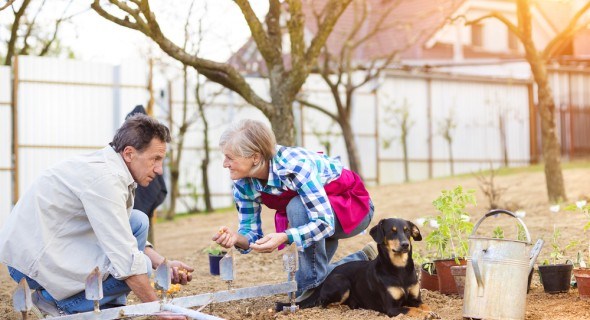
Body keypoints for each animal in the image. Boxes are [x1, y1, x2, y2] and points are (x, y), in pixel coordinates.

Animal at [292, 219, 440, 318]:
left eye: (407, 230)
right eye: (392, 232)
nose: (405, 245)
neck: (399, 269)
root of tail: (327, 277)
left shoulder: (416, 299)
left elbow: (425, 305)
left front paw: (431, 311)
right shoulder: (392, 308)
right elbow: (410, 309)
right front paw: (426, 314)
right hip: (342, 282)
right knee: (323, 303)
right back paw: (343, 307)